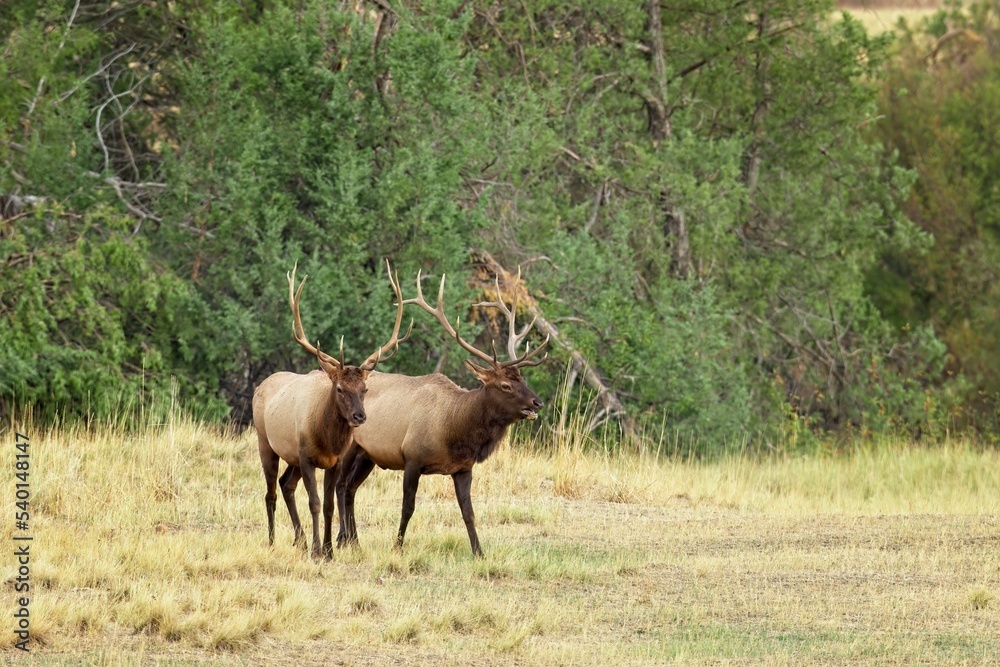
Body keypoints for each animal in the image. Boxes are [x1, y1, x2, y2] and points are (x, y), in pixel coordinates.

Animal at [252, 262, 411, 559]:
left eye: (365, 389)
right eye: (339, 388)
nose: (360, 416)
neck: (326, 439)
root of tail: (260, 386)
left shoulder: (333, 461)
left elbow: (327, 506)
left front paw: (327, 550)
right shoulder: (306, 456)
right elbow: (314, 503)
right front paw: (317, 551)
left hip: (291, 457)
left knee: (286, 484)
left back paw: (300, 540)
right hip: (265, 442)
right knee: (271, 492)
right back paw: (272, 541)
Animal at [335, 269, 549, 557]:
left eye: (522, 378)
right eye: (505, 385)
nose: (537, 403)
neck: (454, 432)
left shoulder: (463, 468)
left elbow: (469, 513)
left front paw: (479, 552)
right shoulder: (412, 458)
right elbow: (408, 507)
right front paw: (397, 546)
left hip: (368, 454)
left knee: (350, 489)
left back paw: (354, 541)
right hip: (351, 446)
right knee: (340, 486)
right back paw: (343, 538)